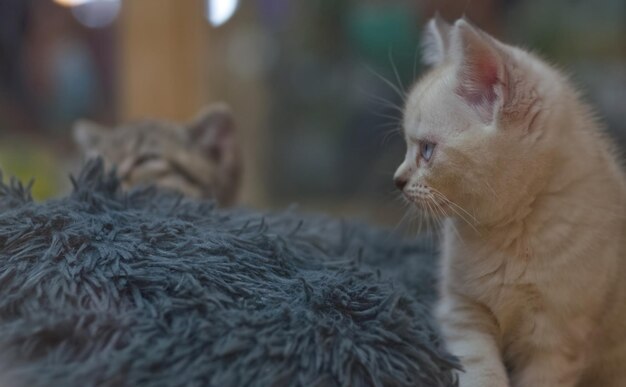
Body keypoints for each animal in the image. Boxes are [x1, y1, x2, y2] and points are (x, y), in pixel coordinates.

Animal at [392, 16, 620, 387]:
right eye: (409, 146)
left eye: (426, 150)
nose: (397, 180)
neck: (510, 233)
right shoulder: (462, 311)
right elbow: (480, 367)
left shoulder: (556, 344)